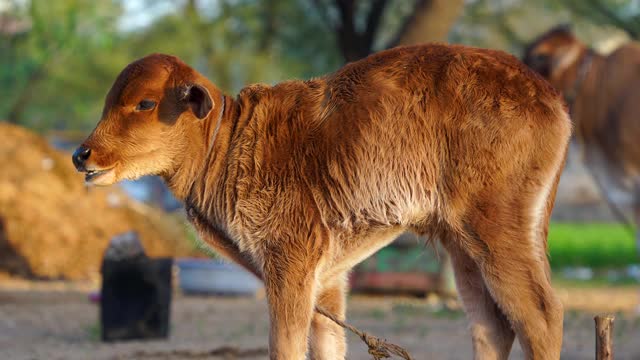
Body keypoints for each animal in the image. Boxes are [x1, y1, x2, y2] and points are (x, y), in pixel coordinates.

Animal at [74, 45, 568, 360]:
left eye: (145, 103)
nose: (82, 155)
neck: (229, 144)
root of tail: (549, 95)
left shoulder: (289, 261)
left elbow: (285, 347)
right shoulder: (327, 279)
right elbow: (328, 343)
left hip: (495, 232)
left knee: (541, 317)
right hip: (462, 245)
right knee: (492, 326)